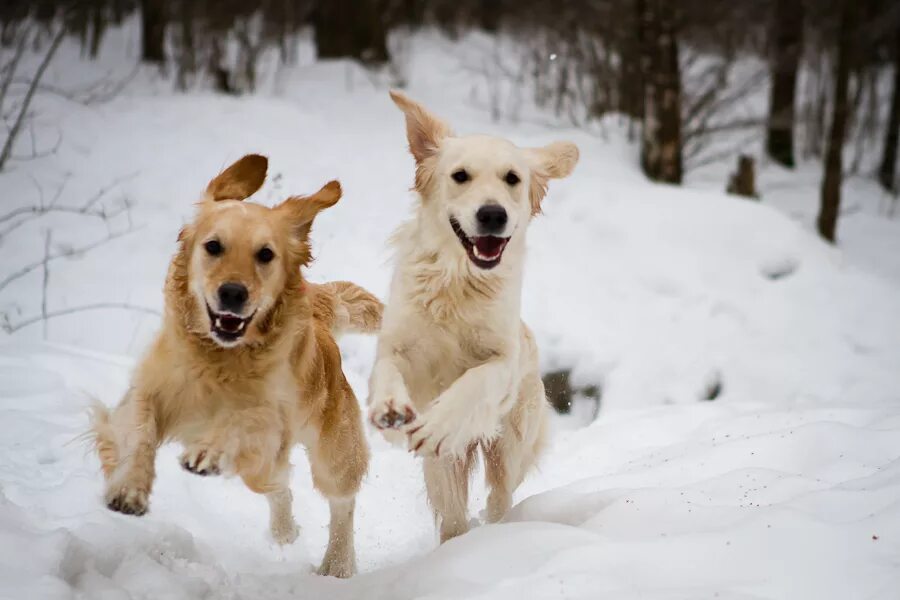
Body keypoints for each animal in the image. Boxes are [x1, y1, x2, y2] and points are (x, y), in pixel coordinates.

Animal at [93, 156, 382, 576]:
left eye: (265, 254)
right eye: (213, 246)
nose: (232, 293)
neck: (220, 356)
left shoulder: (271, 423)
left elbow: (243, 420)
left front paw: (210, 450)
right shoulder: (148, 391)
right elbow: (139, 430)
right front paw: (129, 489)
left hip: (335, 450)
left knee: (340, 500)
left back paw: (337, 564)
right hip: (273, 469)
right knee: (278, 486)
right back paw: (284, 532)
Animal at [370, 90, 580, 544]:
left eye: (512, 178)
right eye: (460, 175)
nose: (492, 214)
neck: (458, 283)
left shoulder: (502, 363)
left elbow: (474, 382)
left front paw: (439, 422)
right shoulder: (397, 346)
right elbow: (388, 373)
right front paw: (390, 410)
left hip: (511, 444)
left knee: (500, 496)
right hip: (441, 469)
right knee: (452, 516)